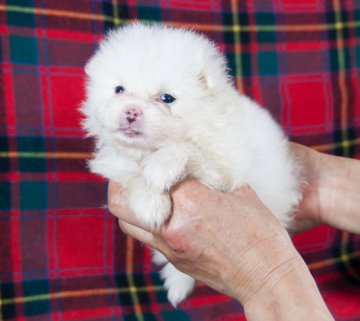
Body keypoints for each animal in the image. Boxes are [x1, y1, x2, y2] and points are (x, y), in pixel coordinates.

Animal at [81, 23, 300, 304]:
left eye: (167, 98)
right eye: (119, 89)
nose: (131, 111)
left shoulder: (223, 169)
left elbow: (188, 149)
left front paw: (160, 170)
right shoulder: (117, 160)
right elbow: (133, 174)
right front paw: (150, 203)